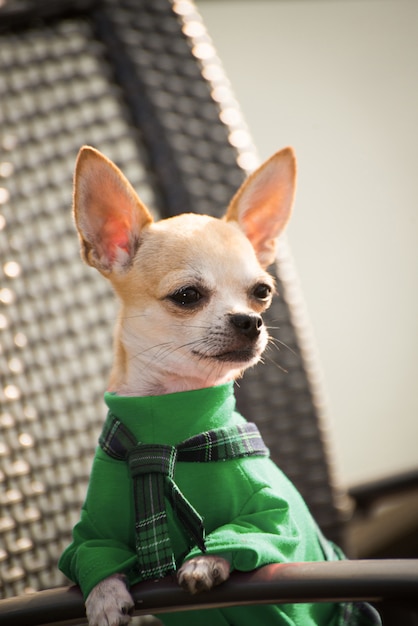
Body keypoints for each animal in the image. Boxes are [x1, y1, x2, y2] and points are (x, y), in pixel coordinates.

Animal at [59, 145, 352, 624]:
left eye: (262, 292)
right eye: (187, 296)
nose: (251, 321)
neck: (172, 419)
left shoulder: (272, 515)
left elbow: (243, 534)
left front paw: (204, 561)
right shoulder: (92, 532)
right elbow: (95, 558)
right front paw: (102, 597)